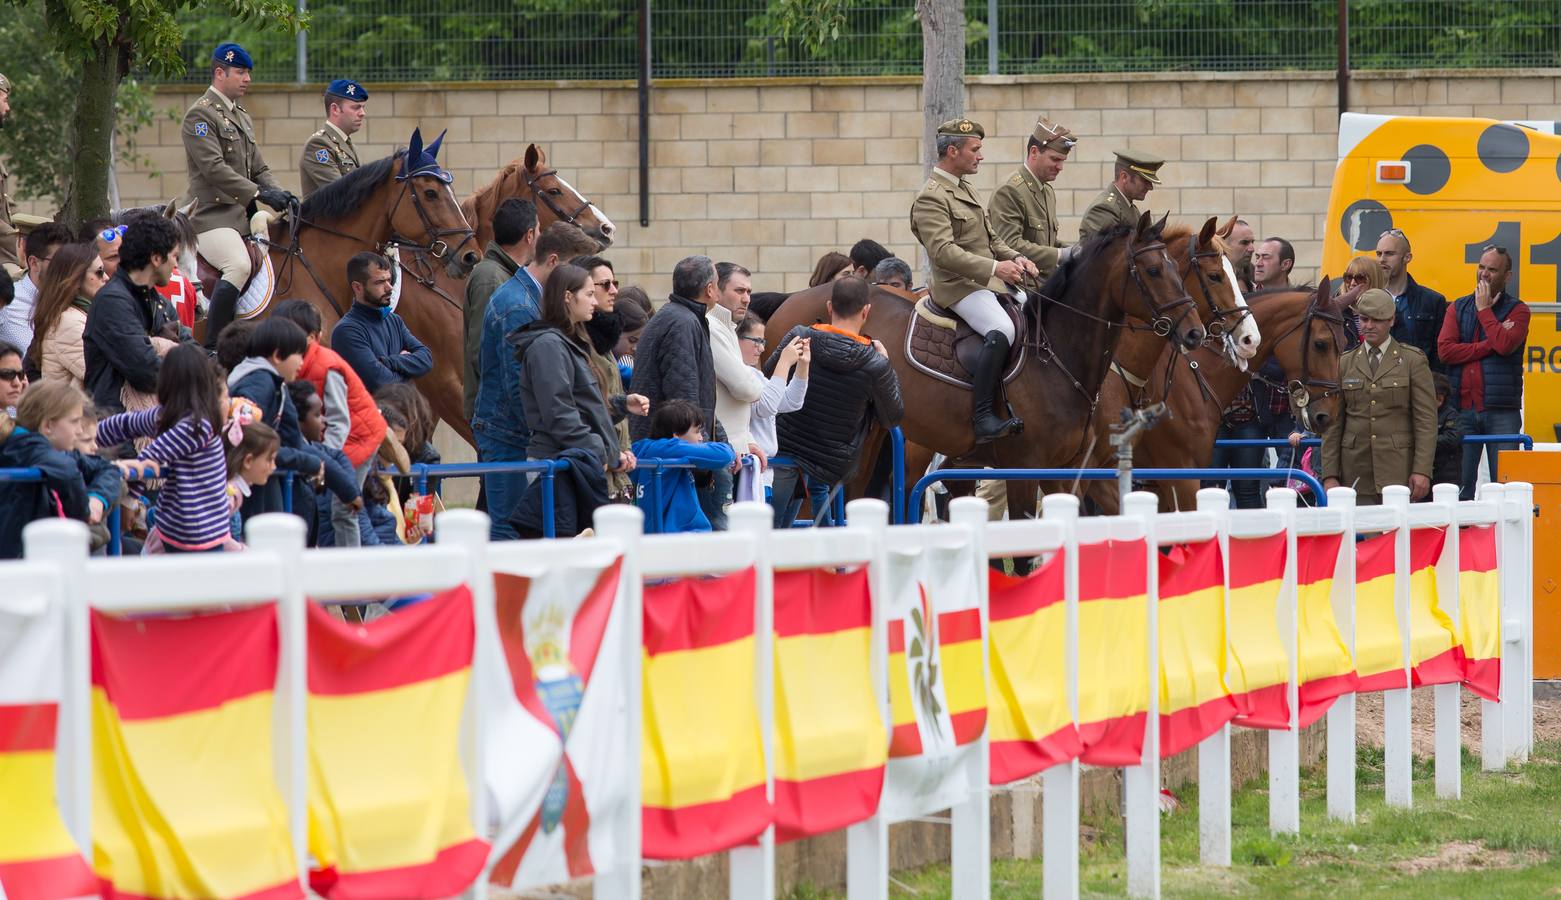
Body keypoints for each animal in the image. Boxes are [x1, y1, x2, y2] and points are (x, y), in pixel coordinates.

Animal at [768, 212, 1205, 517]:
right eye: (1153, 271)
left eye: (1176, 270)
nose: (1194, 333)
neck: (1056, 357)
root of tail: (790, 302)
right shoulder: (1024, 469)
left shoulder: (1067, 471)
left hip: (870, 432)